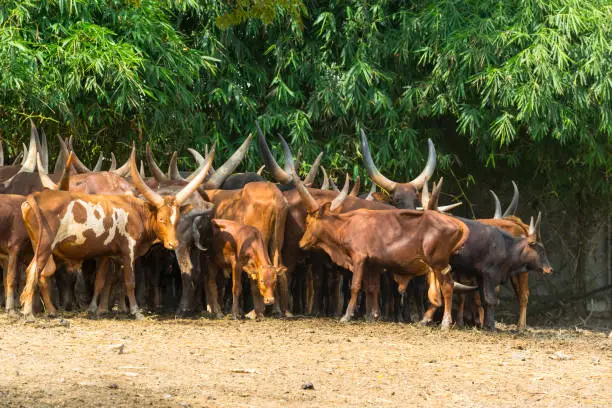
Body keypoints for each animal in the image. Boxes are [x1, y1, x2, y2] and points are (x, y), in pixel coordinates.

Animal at [18, 145, 215, 320]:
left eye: (176, 218)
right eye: (161, 219)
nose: (173, 243)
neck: (135, 210)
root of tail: (35, 198)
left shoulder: (108, 254)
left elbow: (103, 280)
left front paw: (98, 309)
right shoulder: (128, 249)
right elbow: (130, 281)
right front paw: (134, 311)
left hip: (40, 246)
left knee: (41, 273)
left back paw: (49, 311)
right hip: (45, 246)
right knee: (34, 270)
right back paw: (29, 313)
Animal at [292, 167, 474, 330]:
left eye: (308, 221)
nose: (301, 244)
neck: (346, 224)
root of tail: (457, 223)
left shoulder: (359, 258)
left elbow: (356, 286)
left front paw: (347, 315)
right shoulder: (373, 264)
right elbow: (372, 287)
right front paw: (373, 315)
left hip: (438, 263)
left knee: (447, 286)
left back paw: (445, 323)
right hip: (433, 267)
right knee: (435, 293)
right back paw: (424, 320)